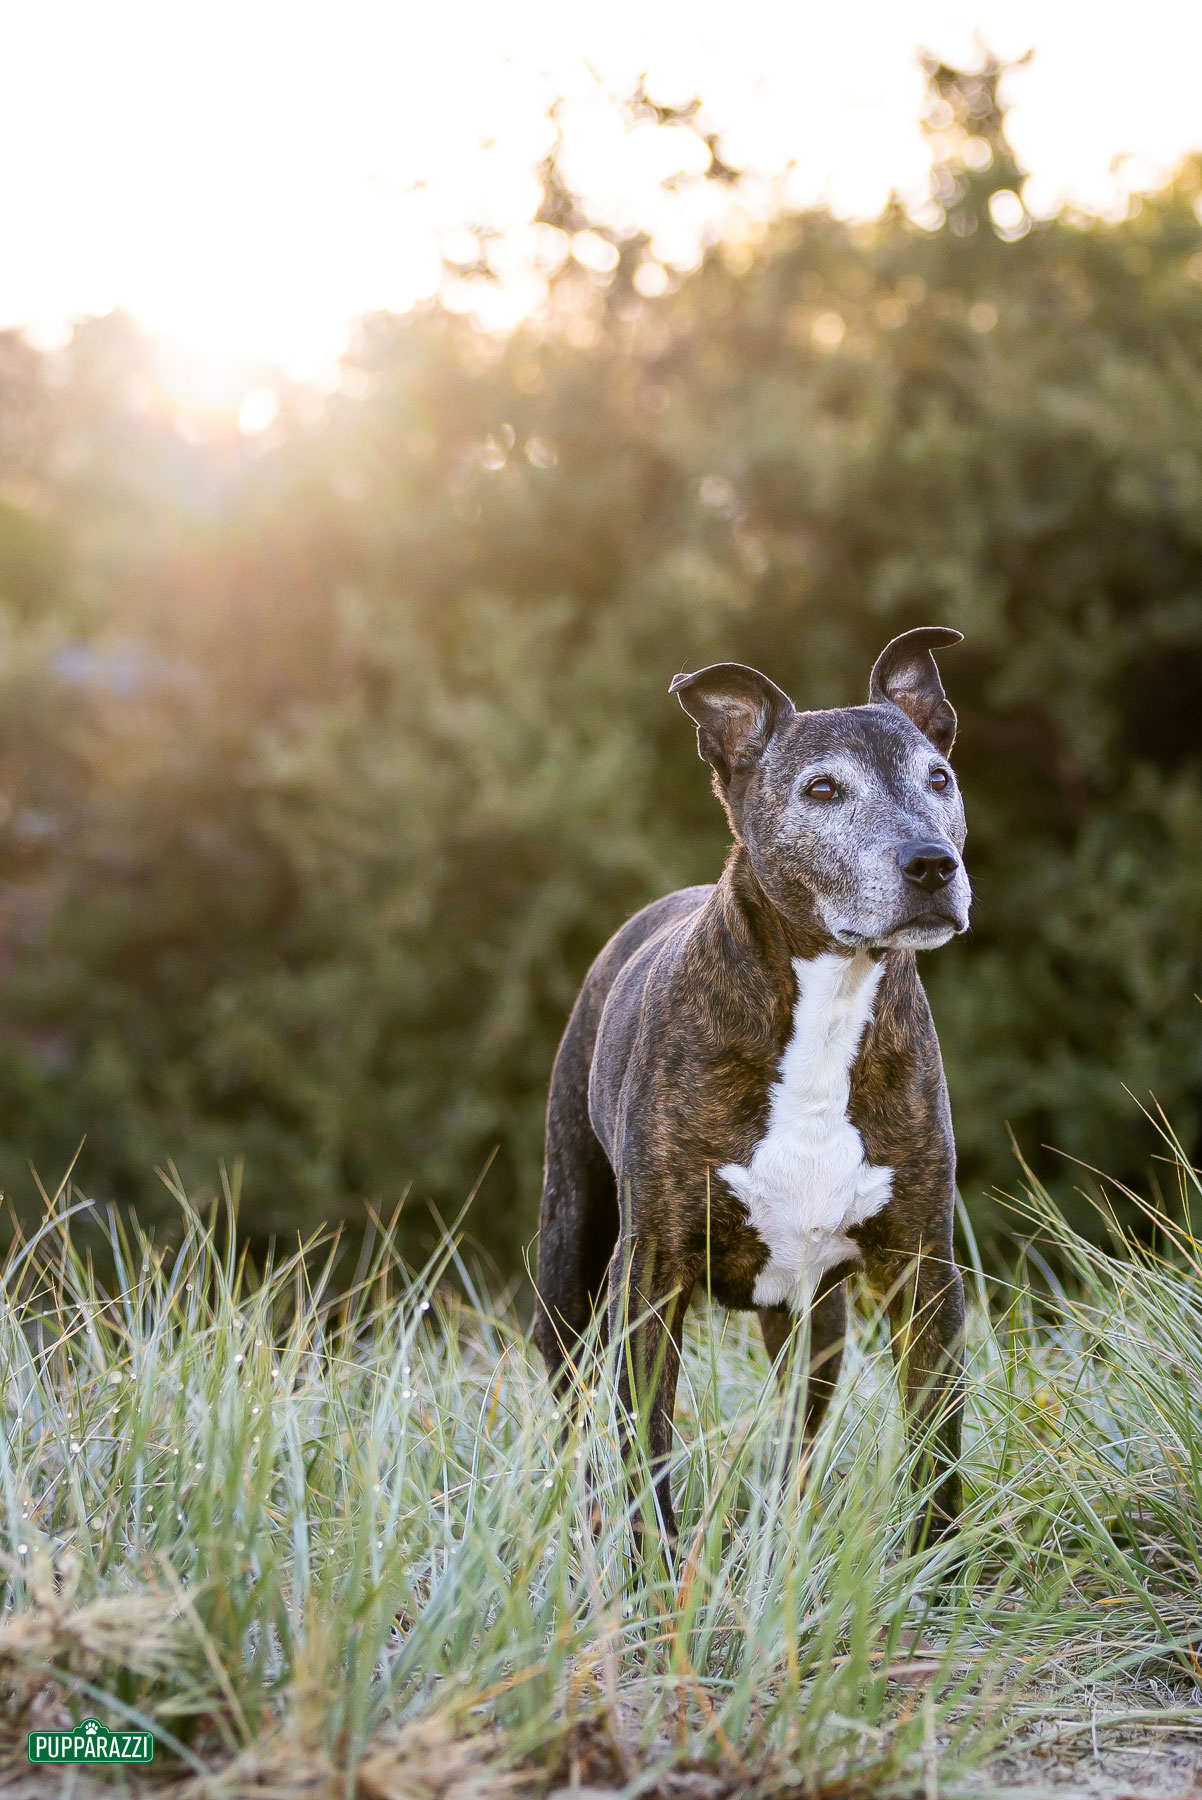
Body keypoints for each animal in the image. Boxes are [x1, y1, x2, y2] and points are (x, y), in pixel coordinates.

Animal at [536, 626, 978, 1540]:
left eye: (939, 778)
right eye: (821, 789)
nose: (932, 863)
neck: (829, 999)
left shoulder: (926, 1271)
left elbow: (937, 1451)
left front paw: (942, 1565)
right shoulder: (650, 1275)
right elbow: (645, 1453)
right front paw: (655, 1573)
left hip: (813, 1323)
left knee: (795, 1431)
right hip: (568, 1251)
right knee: (569, 1403)